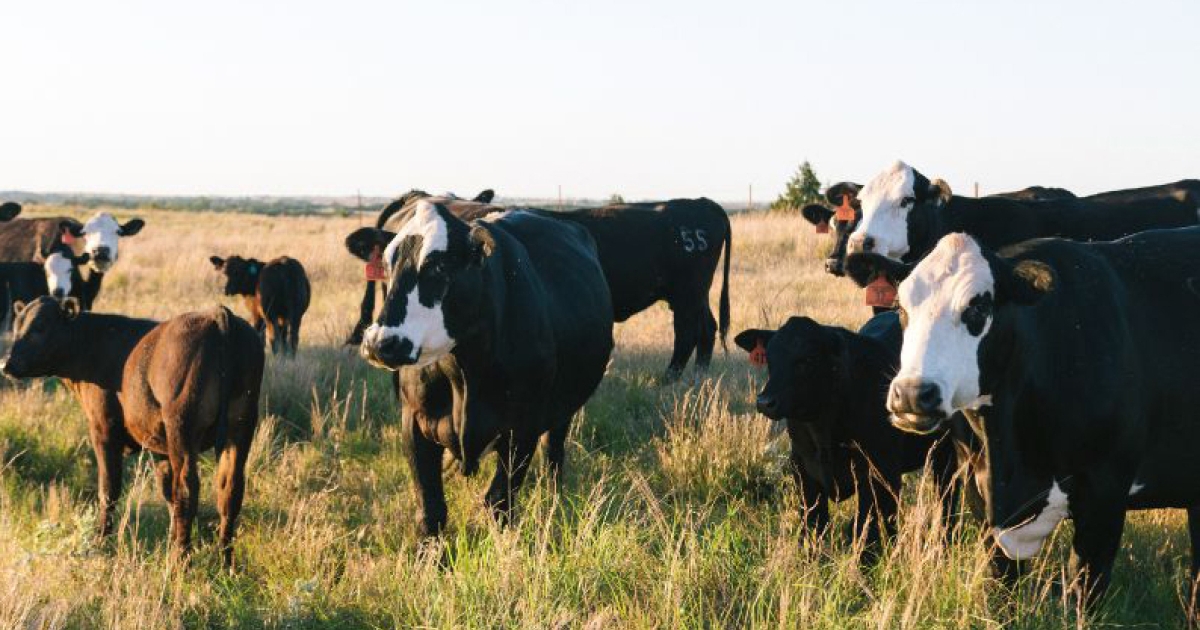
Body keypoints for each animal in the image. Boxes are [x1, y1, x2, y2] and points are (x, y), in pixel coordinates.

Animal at [0, 297, 264, 566]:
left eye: (40, 326)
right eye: (18, 325)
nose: (6, 364)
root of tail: (217, 314)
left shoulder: (103, 429)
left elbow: (109, 490)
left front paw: (100, 543)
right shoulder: (159, 446)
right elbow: (166, 490)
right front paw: (169, 540)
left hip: (182, 426)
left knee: (187, 489)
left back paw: (181, 561)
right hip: (241, 428)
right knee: (229, 489)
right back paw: (226, 561)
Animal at [352, 201, 609, 535]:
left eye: (440, 266)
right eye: (387, 263)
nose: (381, 343)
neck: (463, 374)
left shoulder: (523, 428)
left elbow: (499, 502)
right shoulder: (414, 421)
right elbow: (431, 511)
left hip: (563, 408)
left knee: (554, 453)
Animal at [724, 312, 960, 552]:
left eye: (807, 360)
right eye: (770, 359)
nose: (765, 402)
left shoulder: (874, 471)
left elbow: (865, 529)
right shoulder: (803, 470)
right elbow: (813, 526)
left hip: (946, 452)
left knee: (946, 499)